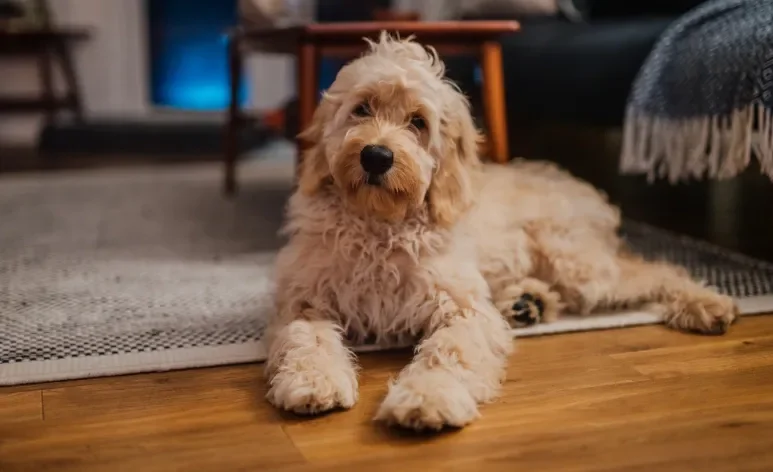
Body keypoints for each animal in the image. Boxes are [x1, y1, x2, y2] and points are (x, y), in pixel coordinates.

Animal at [264, 33, 736, 432]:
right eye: (361, 108)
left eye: (418, 122)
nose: (376, 156)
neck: (380, 225)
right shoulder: (306, 299)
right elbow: (307, 338)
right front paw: (314, 381)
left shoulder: (464, 307)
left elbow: (450, 351)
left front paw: (427, 398)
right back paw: (529, 303)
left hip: (578, 264)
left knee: (658, 268)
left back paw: (707, 303)